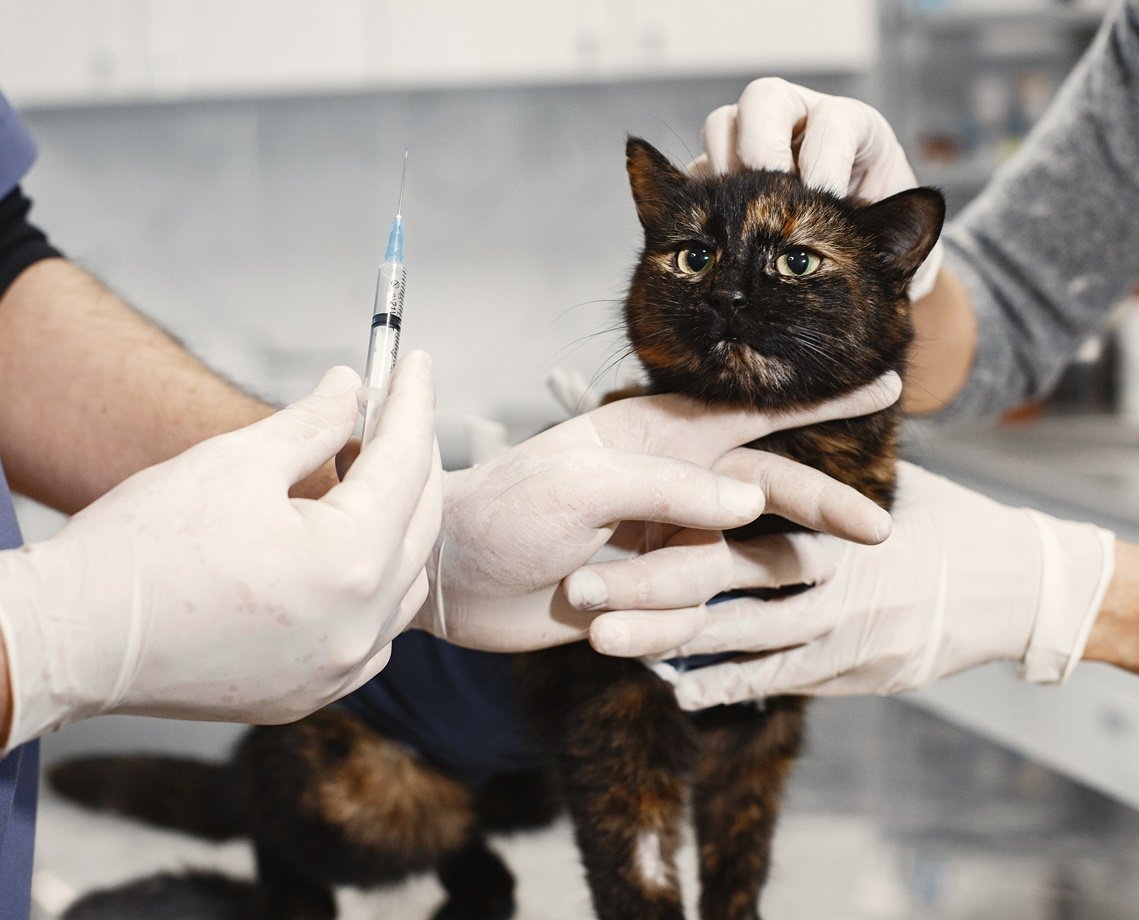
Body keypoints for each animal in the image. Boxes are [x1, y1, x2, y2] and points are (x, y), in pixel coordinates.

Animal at [48, 136, 938, 919]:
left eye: (797, 261)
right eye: (693, 256)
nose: (727, 297)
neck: (766, 461)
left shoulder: (759, 719)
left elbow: (740, 865)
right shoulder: (614, 709)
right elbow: (638, 868)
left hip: (520, 786)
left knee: (465, 839)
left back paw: (483, 894)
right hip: (370, 798)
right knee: (277, 826)